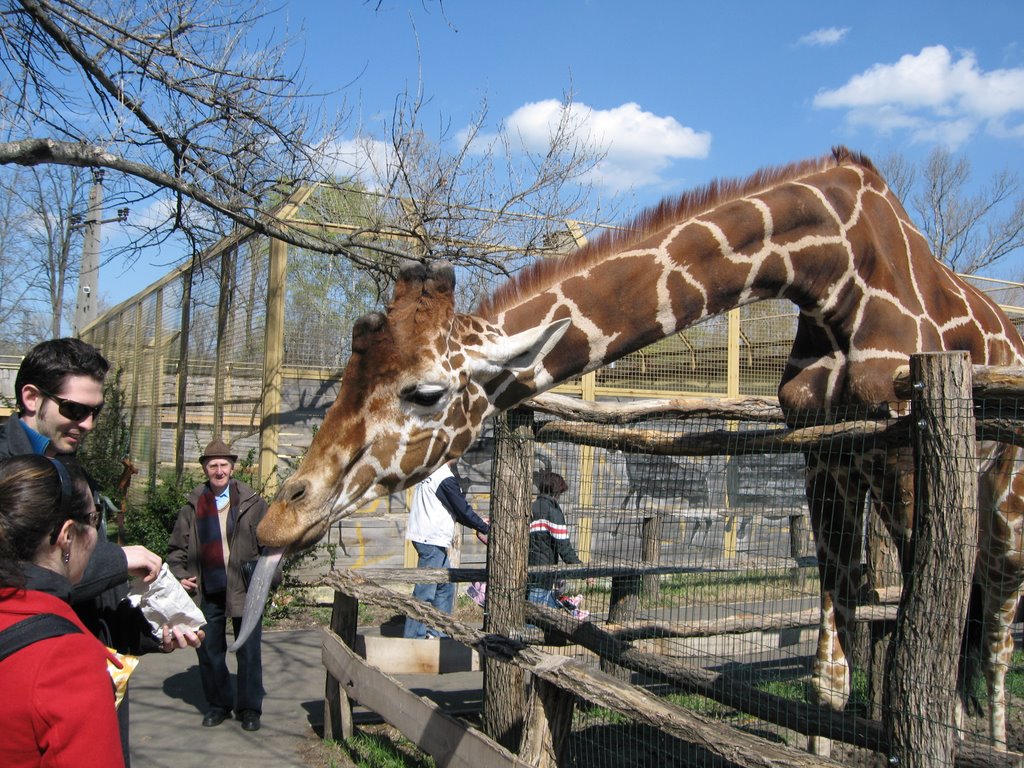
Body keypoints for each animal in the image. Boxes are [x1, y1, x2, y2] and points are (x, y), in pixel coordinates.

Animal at [247, 147, 1024, 749]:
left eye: (426, 393)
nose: (279, 519)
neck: (834, 270)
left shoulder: (908, 450)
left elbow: (928, 651)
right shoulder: (822, 454)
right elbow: (828, 682)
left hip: (1003, 502)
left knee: (992, 633)